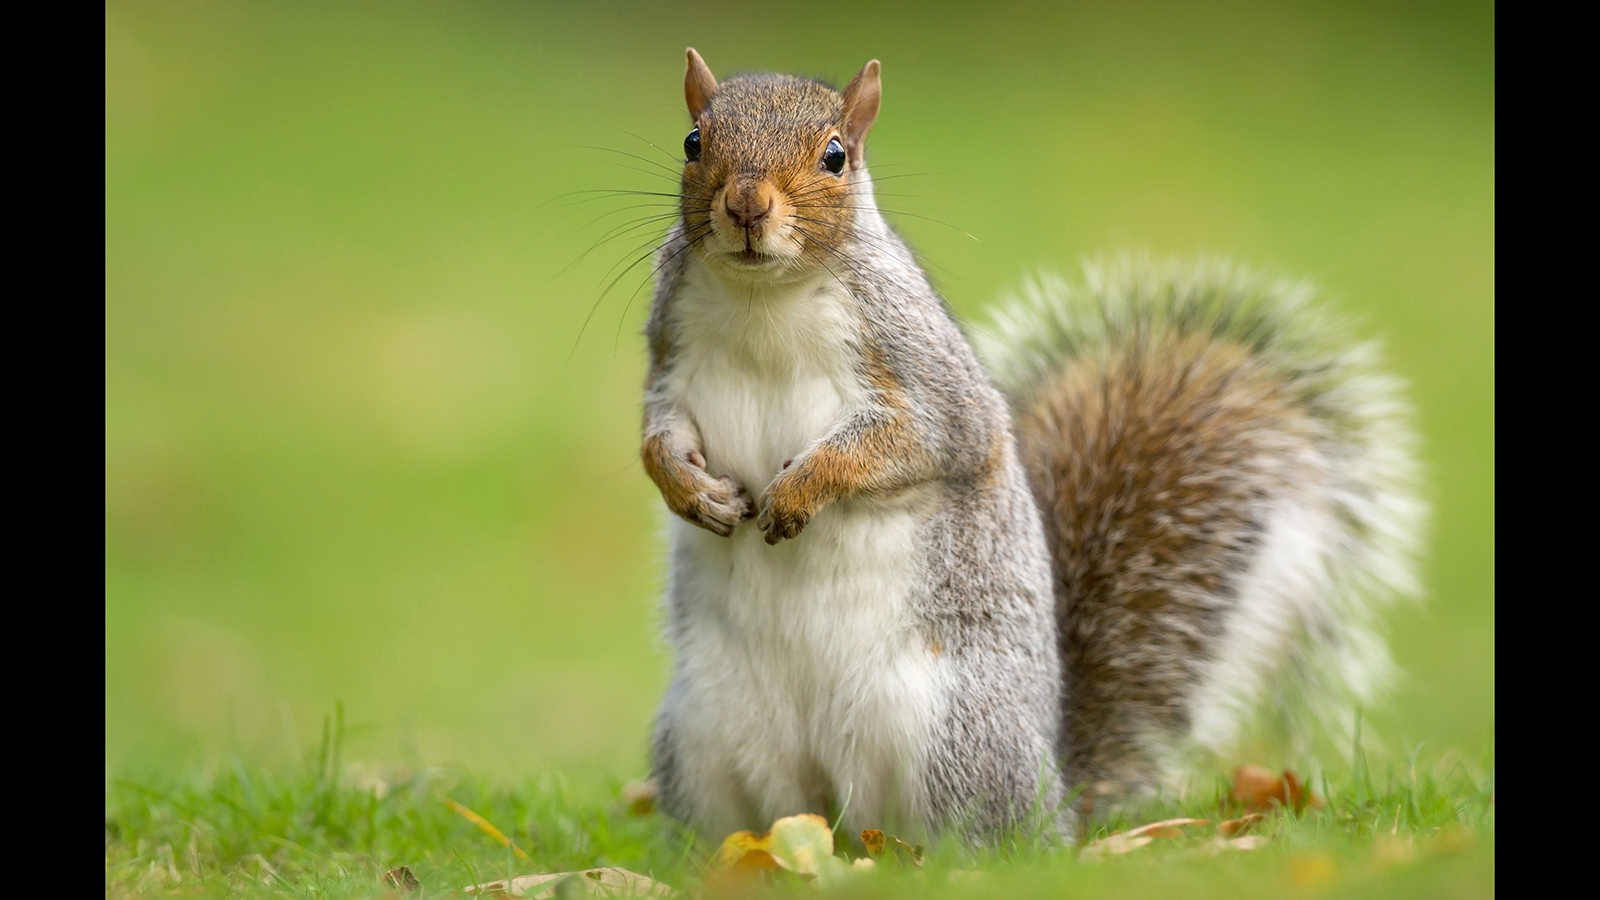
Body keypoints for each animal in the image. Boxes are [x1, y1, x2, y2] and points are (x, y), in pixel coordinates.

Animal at [639, 49, 1424, 841]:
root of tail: (1057, 797)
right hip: (702, 733)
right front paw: (689, 490)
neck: (763, 298)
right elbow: (655, 438)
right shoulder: (669, 362)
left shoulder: (926, 379)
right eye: (693, 142)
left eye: (835, 156)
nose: (746, 206)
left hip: (949, 738)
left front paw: (801, 491)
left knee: (977, 838)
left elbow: (917, 442)